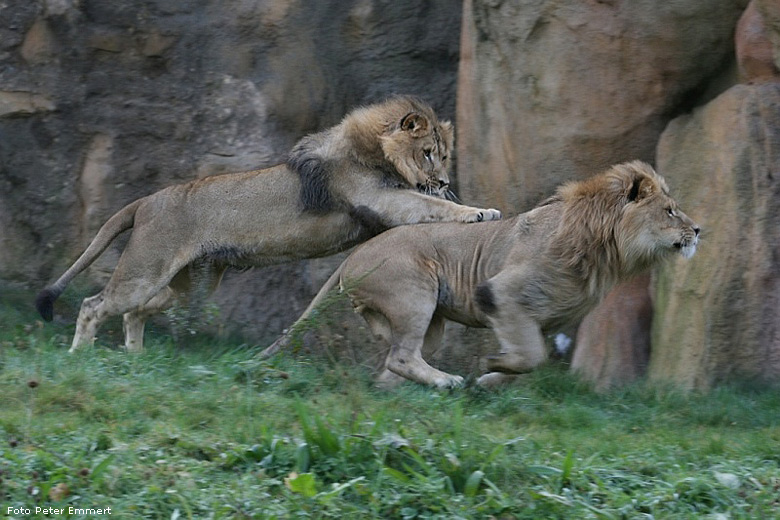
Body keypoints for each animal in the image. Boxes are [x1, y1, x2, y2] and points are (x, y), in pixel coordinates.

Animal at [36, 95, 500, 352]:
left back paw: (136, 360)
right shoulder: (380, 196)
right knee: (94, 305)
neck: (379, 152)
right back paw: (80, 358)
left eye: (444, 155)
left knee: (135, 312)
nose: (445, 180)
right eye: (427, 153)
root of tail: (149, 199)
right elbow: (427, 203)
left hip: (189, 284)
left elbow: (425, 207)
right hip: (145, 270)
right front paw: (480, 211)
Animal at [266, 160, 700, 388]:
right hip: (414, 295)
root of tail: (354, 253)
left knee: (392, 366)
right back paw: (447, 382)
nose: (698, 230)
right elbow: (531, 356)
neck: (604, 250)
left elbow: (530, 358)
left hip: (429, 325)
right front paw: (491, 365)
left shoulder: (544, 319)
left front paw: (492, 379)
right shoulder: (501, 292)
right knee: (401, 358)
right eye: (670, 211)